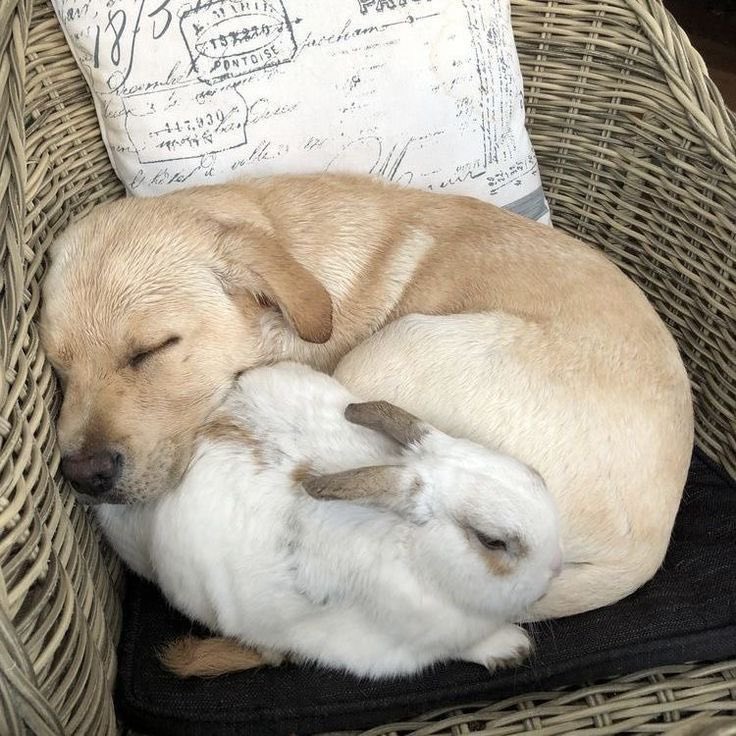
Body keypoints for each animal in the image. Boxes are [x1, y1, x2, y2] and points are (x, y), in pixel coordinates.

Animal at [94, 361, 562, 678]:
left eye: (535, 475)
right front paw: (511, 648)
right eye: (491, 541)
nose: (555, 571)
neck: (418, 560)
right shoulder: (385, 647)